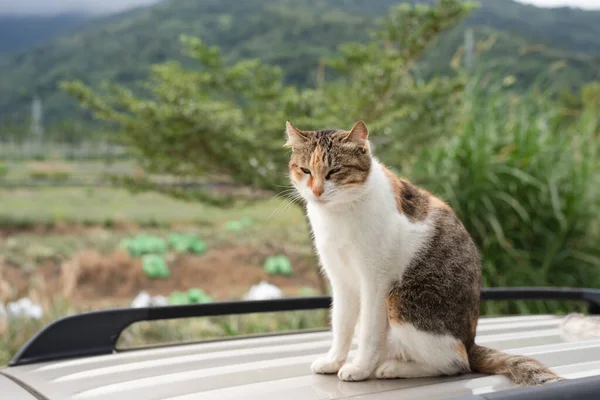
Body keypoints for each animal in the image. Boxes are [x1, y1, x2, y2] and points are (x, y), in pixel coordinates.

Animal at [284, 120, 564, 386]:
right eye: (306, 170)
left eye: (334, 171)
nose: (317, 191)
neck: (339, 214)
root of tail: (470, 341)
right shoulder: (341, 280)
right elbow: (341, 326)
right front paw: (333, 361)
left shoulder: (375, 282)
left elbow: (368, 332)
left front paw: (360, 368)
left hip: (401, 302)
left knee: (455, 363)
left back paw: (393, 368)